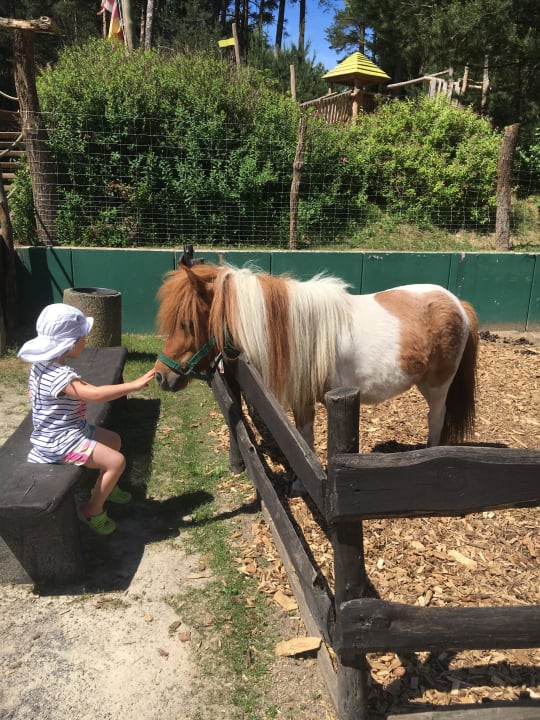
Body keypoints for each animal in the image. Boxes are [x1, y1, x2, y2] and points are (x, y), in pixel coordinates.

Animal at [155, 255, 479, 452]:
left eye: (186, 323)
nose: (160, 376)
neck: (293, 329)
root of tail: (458, 303)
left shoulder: (303, 398)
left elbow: (305, 438)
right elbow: (302, 436)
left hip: (437, 386)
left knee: (436, 417)